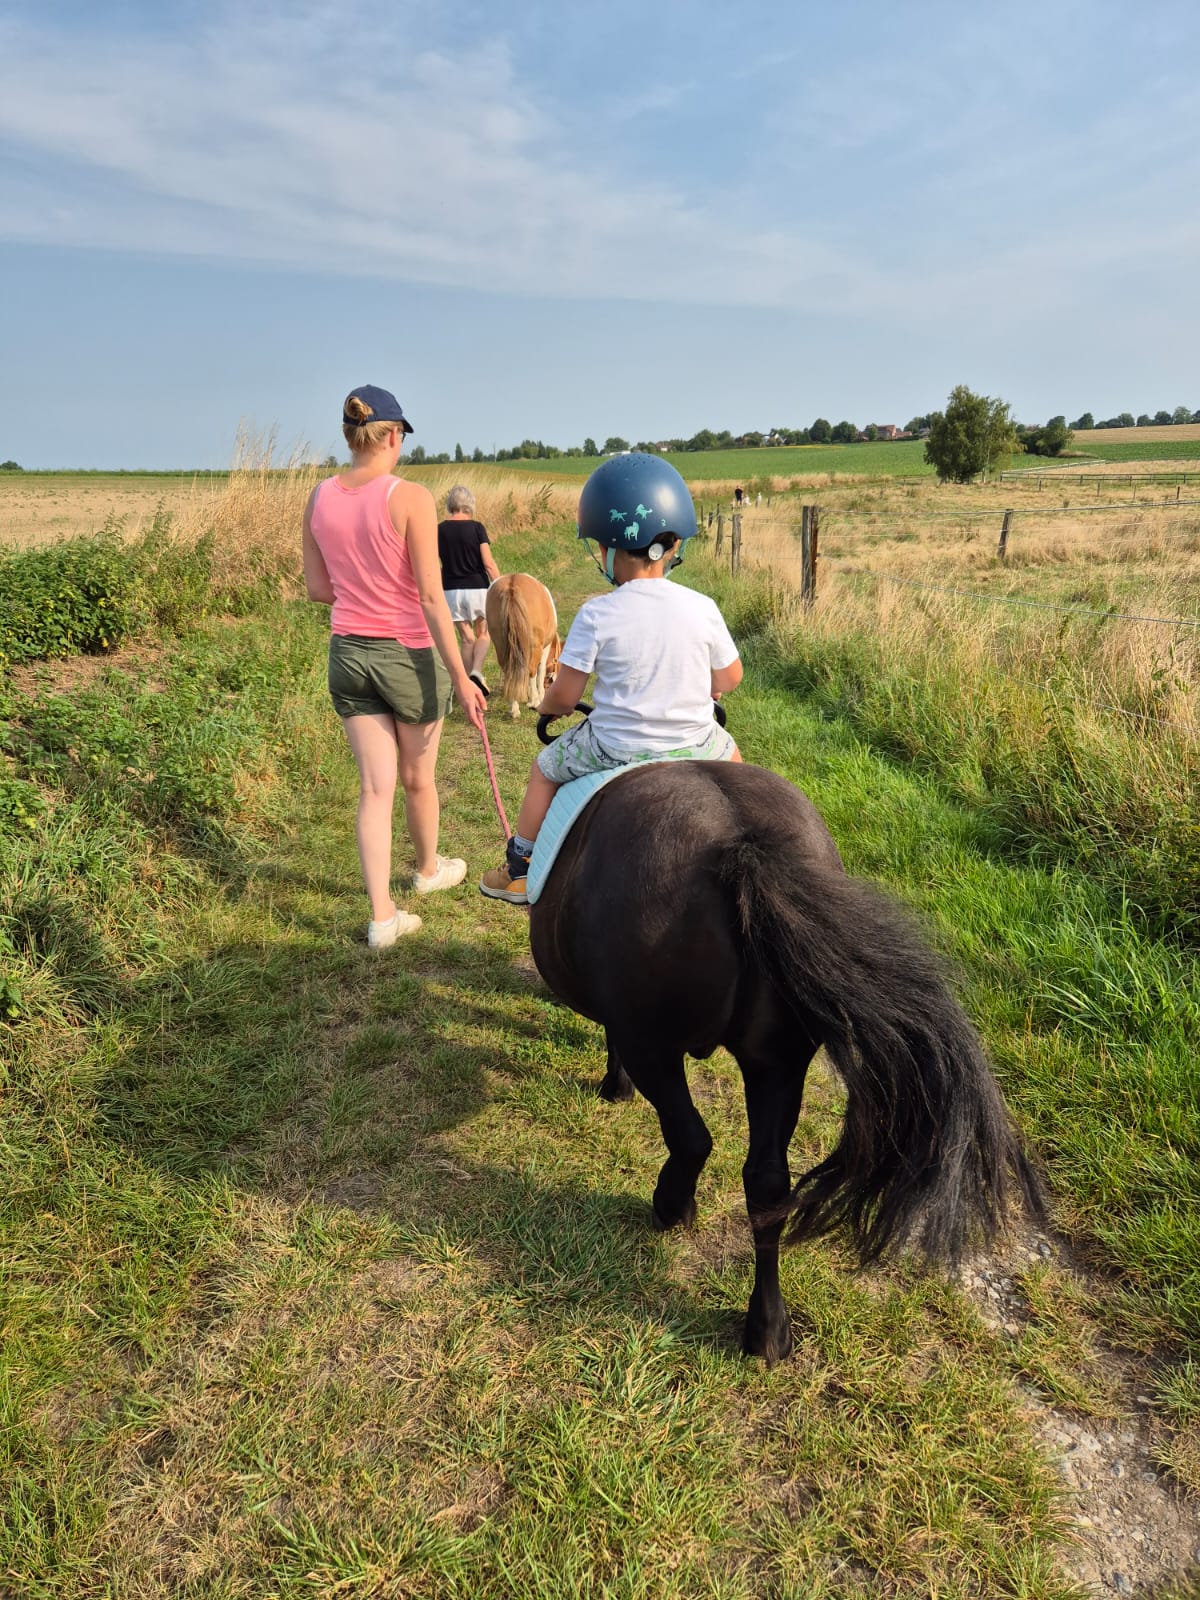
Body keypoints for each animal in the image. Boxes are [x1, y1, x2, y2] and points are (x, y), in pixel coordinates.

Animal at [485, 573, 562, 720]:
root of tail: (512, 586)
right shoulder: (544, 648)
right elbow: (541, 670)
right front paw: (539, 696)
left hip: (501, 645)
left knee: (509, 671)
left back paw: (514, 708)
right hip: (534, 646)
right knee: (532, 671)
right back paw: (535, 702)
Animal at [528, 760, 1043, 1366]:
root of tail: (740, 842)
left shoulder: (630, 1028)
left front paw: (615, 1086)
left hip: (657, 1042)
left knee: (691, 1138)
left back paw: (673, 1208)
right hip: (778, 1063)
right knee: (768, 1184)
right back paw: (768, 1328)